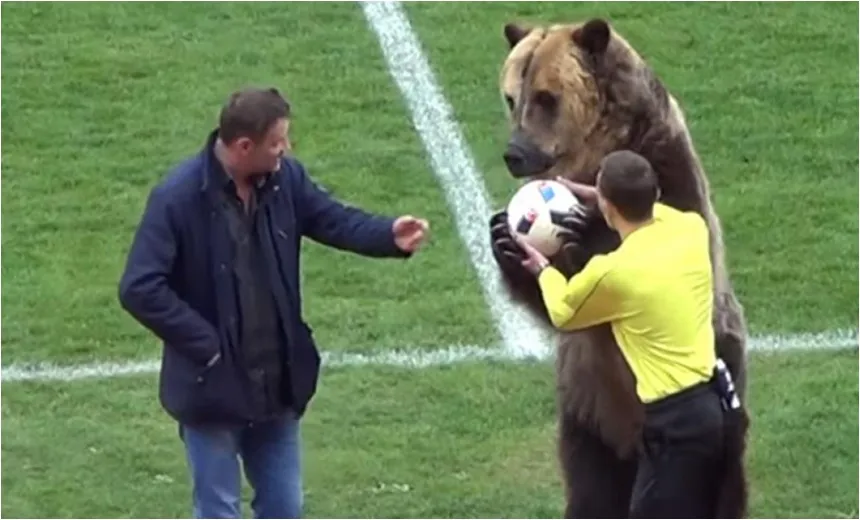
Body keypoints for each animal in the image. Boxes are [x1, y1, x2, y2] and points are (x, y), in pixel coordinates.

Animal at [488, 18, 751, 518]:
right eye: (512, 96)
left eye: (547, 97)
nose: (514, 153)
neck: (596, 154)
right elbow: (562, 308)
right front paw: (504, 241)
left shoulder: (671, 174)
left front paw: (587, 228)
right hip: (587, 414)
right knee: (593, 489)